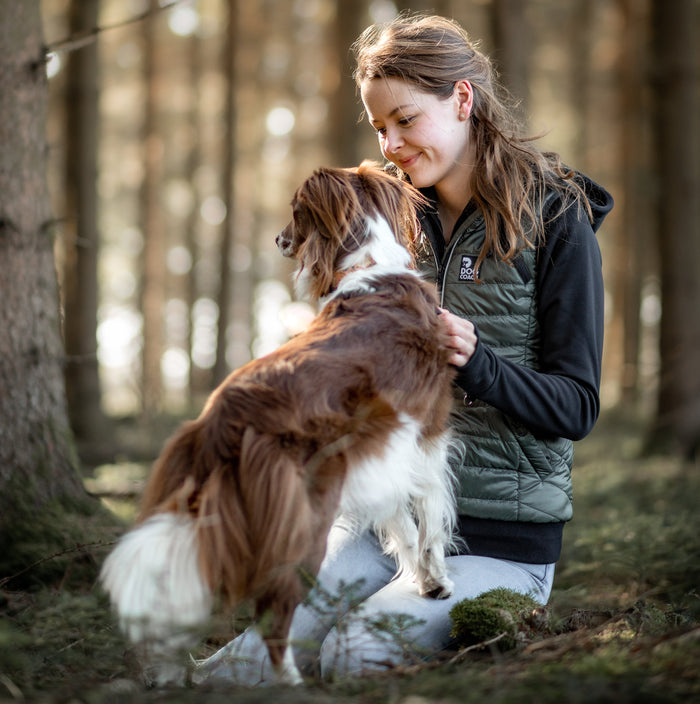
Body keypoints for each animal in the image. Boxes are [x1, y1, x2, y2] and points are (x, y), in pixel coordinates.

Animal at [100, 158, 460, 680]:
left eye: (294, 210)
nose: (277, 239)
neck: (372, 269)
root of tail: (219, 417)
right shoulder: (428, 434)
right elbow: (431, 518)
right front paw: (438, 583)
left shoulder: (380, 453)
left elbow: (403, 526)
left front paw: (423, 581)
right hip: (302, 522)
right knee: (274, 612)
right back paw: (288, 680)